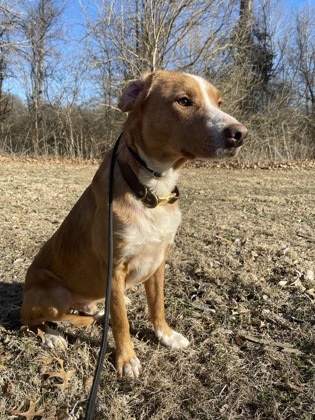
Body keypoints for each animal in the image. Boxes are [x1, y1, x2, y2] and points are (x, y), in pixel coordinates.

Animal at [21, 70, 249, 378]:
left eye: (219, 102)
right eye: (184, 101)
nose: (240, 134)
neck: (152, 190)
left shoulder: (159, 260)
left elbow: (157, 304)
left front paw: (166, 335)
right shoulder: (114, 267)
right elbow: (121, 321)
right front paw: (126, 359)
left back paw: (94, 309)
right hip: (53, 293)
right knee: (29, 321)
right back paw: (53, 336)